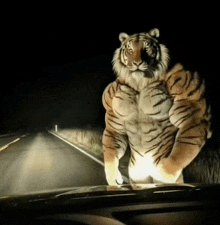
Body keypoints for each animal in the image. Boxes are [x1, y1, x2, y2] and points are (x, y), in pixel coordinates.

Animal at [102, 28, 212, 186]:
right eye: (130, 49)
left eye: (146, 48)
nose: (137, 63)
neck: (139, 82)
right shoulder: (112, 111)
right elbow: (112, 148)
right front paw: (114, 178)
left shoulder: (192, 103)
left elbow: (181, 151)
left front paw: (164, 175)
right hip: (136, 178)